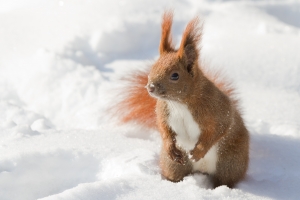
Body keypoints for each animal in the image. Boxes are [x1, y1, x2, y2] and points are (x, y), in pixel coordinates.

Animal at [113, 12, 250, 188]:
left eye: (175, 75)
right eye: (153, 68)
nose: (150, 87)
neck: (179, 103)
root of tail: (202, 169)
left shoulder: (218, 109)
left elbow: (219, 128)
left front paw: (198, 152)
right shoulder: (163, 112)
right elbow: (164, 128)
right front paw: (170, 146)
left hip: (230, 162)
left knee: (225, 180)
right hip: (174, 165)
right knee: (176, 172)